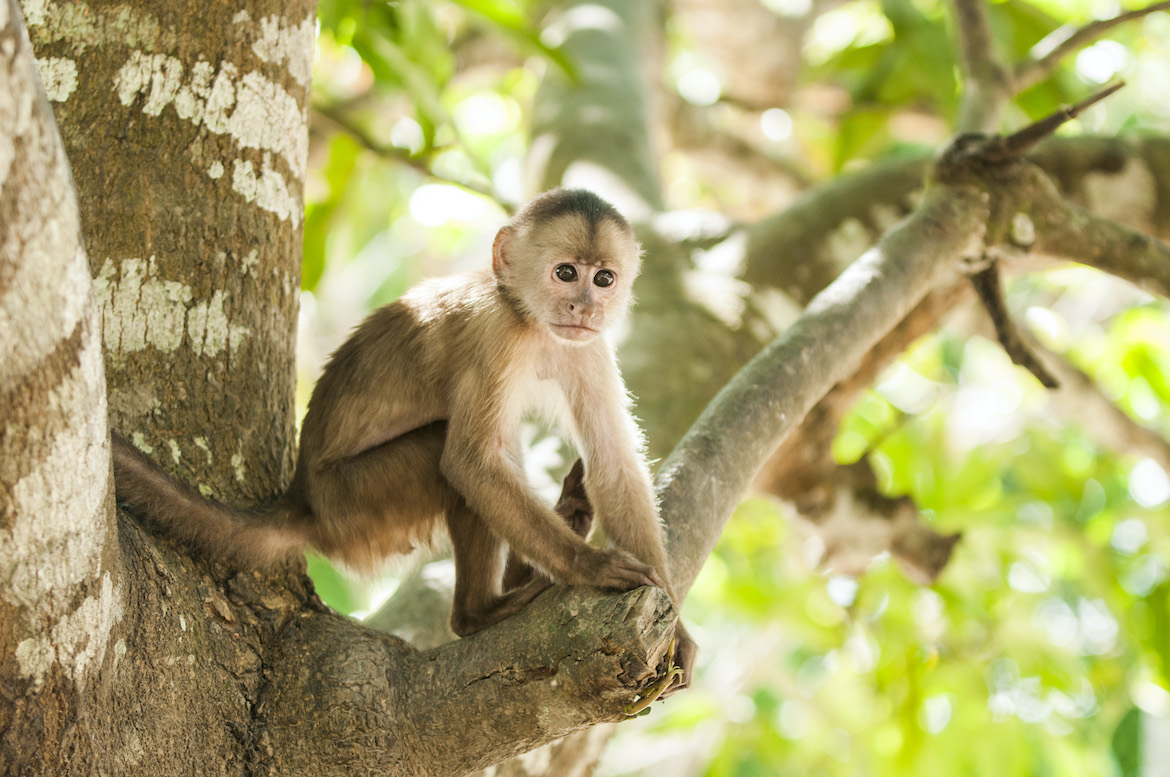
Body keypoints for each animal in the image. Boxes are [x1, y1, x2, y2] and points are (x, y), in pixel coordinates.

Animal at [111, 187, 692, 692]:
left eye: (605, 278)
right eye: (566, 273)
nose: (585, 307)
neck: (527, 317)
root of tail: (303, 500)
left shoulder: (589, 346)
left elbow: (614, 463)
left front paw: (677, 628)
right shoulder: (495, 335)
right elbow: (469, 463)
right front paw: (589, 568)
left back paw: (561, 526)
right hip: (359, 503)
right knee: (445, 453)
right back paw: (481, 611)